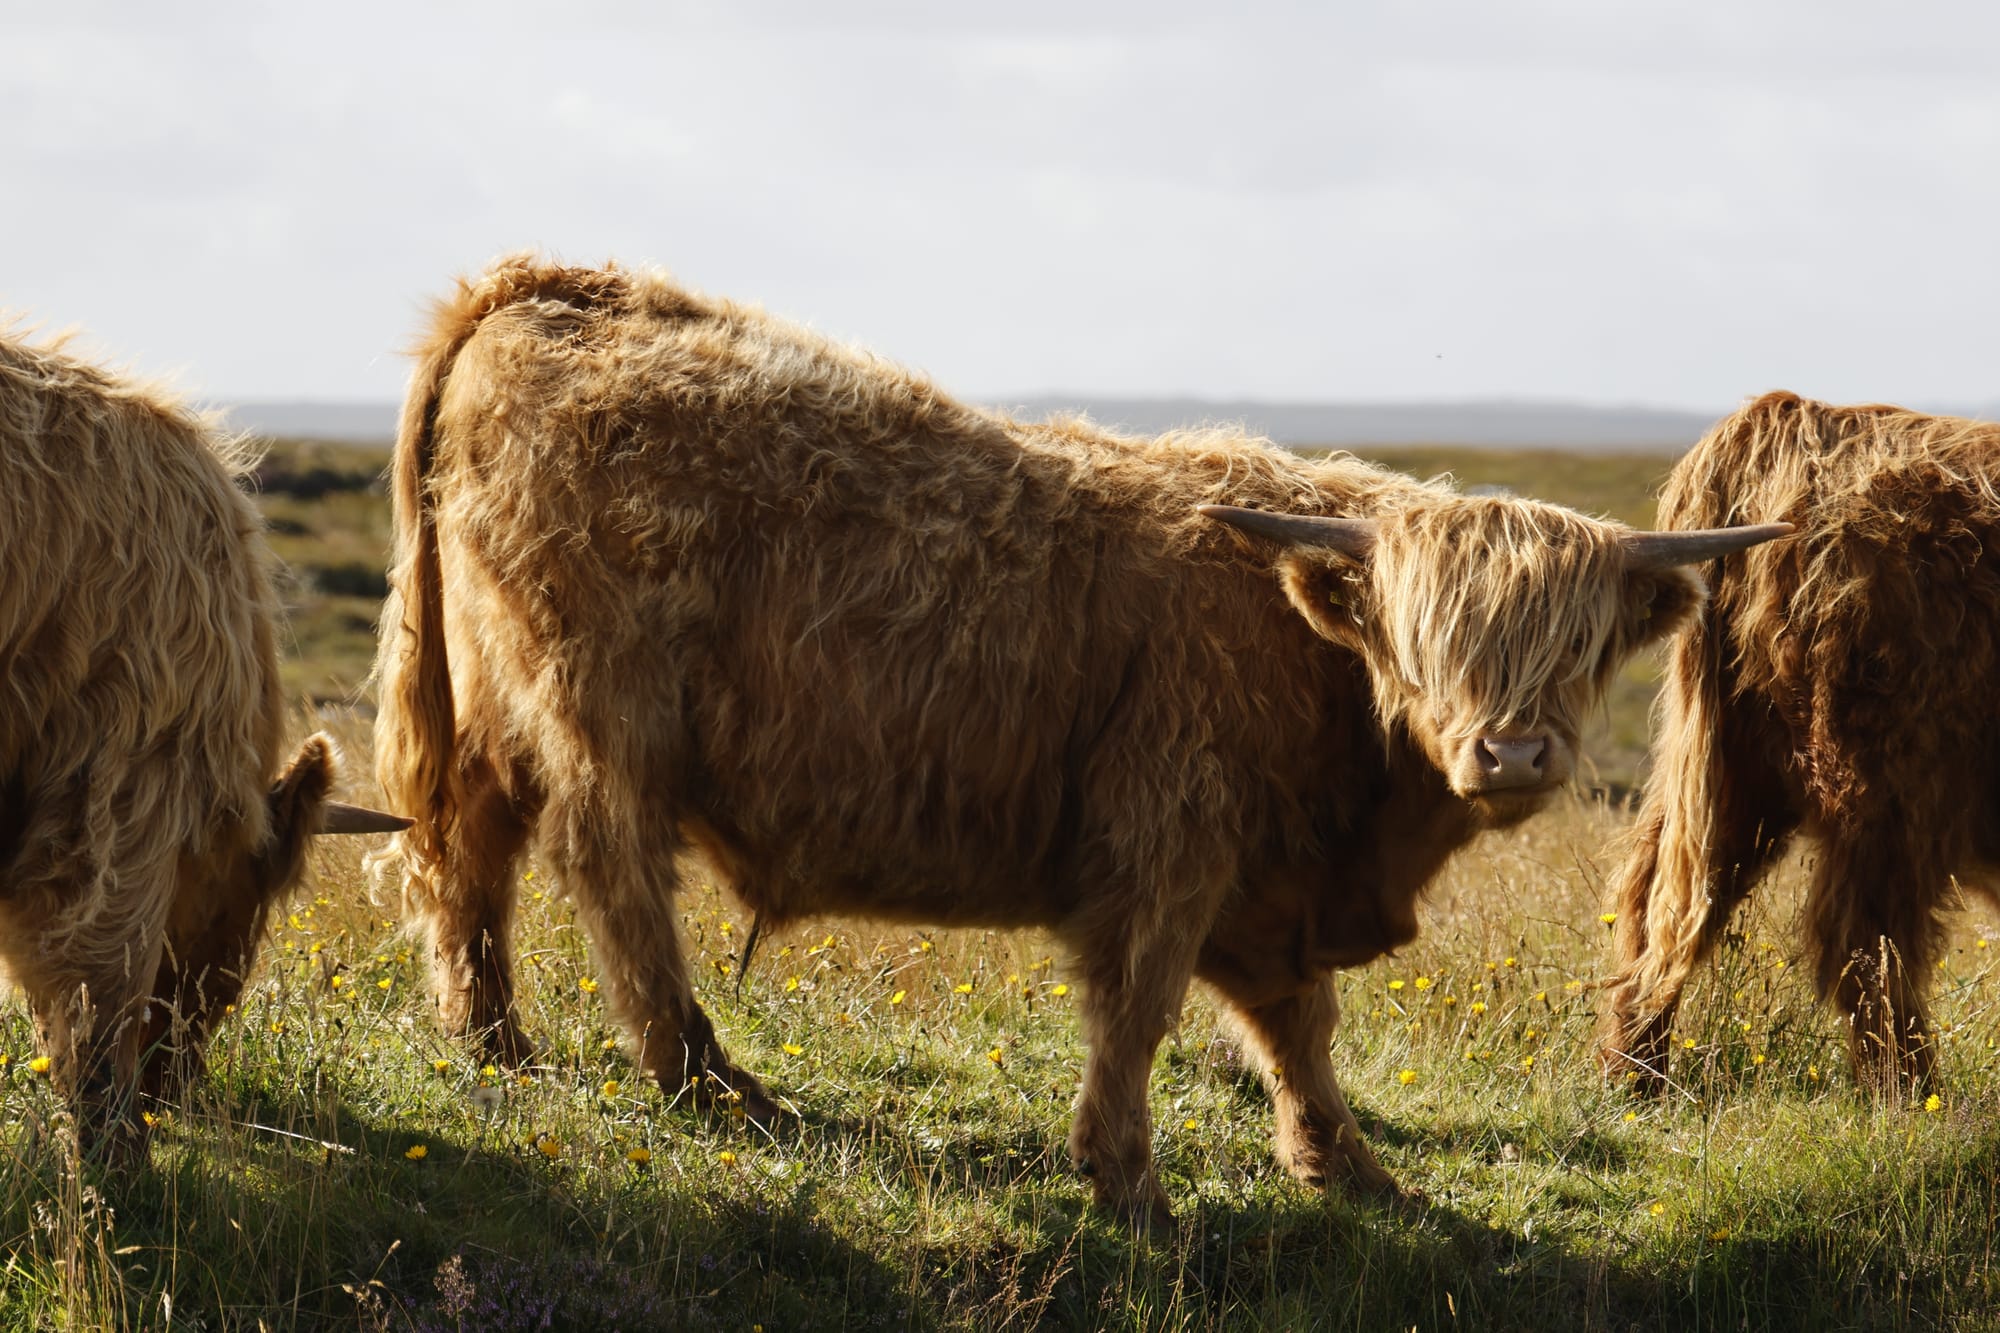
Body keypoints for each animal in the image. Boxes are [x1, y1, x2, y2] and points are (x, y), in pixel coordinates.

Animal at [372, 254, 1784, 1216]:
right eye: (1422, 639)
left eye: (1580, 647)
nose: (1511, 754)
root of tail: (551, 285)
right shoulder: (1169, 841)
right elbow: (1143, 1006)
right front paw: (1126, 1180)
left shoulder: (1268, 879)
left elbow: (1298, 1026)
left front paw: (1347, 1166)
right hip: (601, 707)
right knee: (610, 871)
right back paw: (708, 1080)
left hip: (496, 701)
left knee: (470, 849)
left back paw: (493, 1039)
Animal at [1600, 392, 2000, 1088]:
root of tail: (1791, 414)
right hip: (1888, 777)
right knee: (1864, 938)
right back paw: (1918, 1096)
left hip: (1736, 762)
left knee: (1656, 897)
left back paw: (1635, 1073)